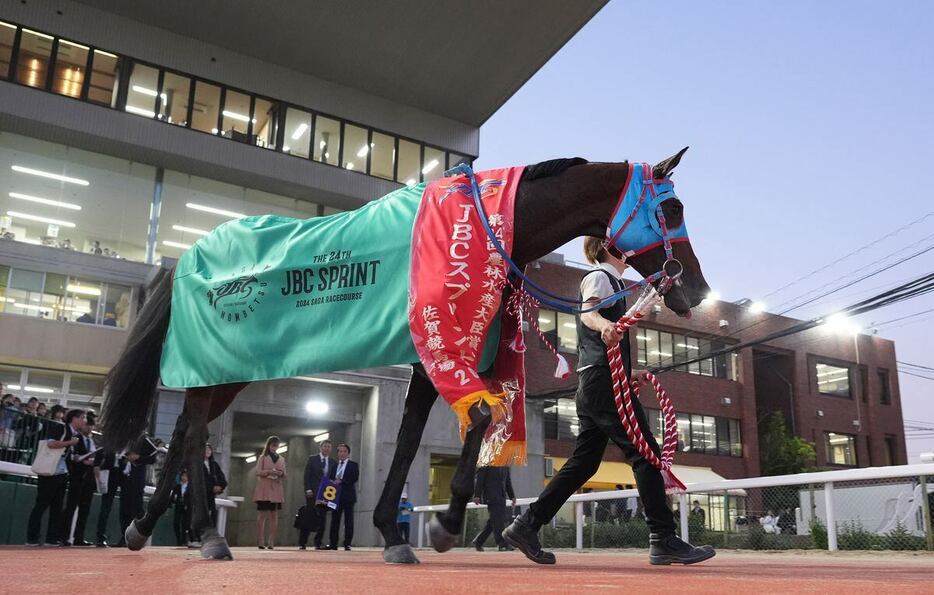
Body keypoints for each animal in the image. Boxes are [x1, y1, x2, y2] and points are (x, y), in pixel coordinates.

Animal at [98, 149, 708, 564]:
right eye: (674, 206)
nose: (696, 290)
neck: (485, 228)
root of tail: (185, 257)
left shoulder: (453, 355)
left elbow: (430, 433)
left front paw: (415, 530)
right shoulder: (437, 346)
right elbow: (468, 419)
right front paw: (431, 529)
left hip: (225, 372)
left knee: (184, 431)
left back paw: (142, 527)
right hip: (215, 364)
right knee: (194, 433)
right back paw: (205, 533)